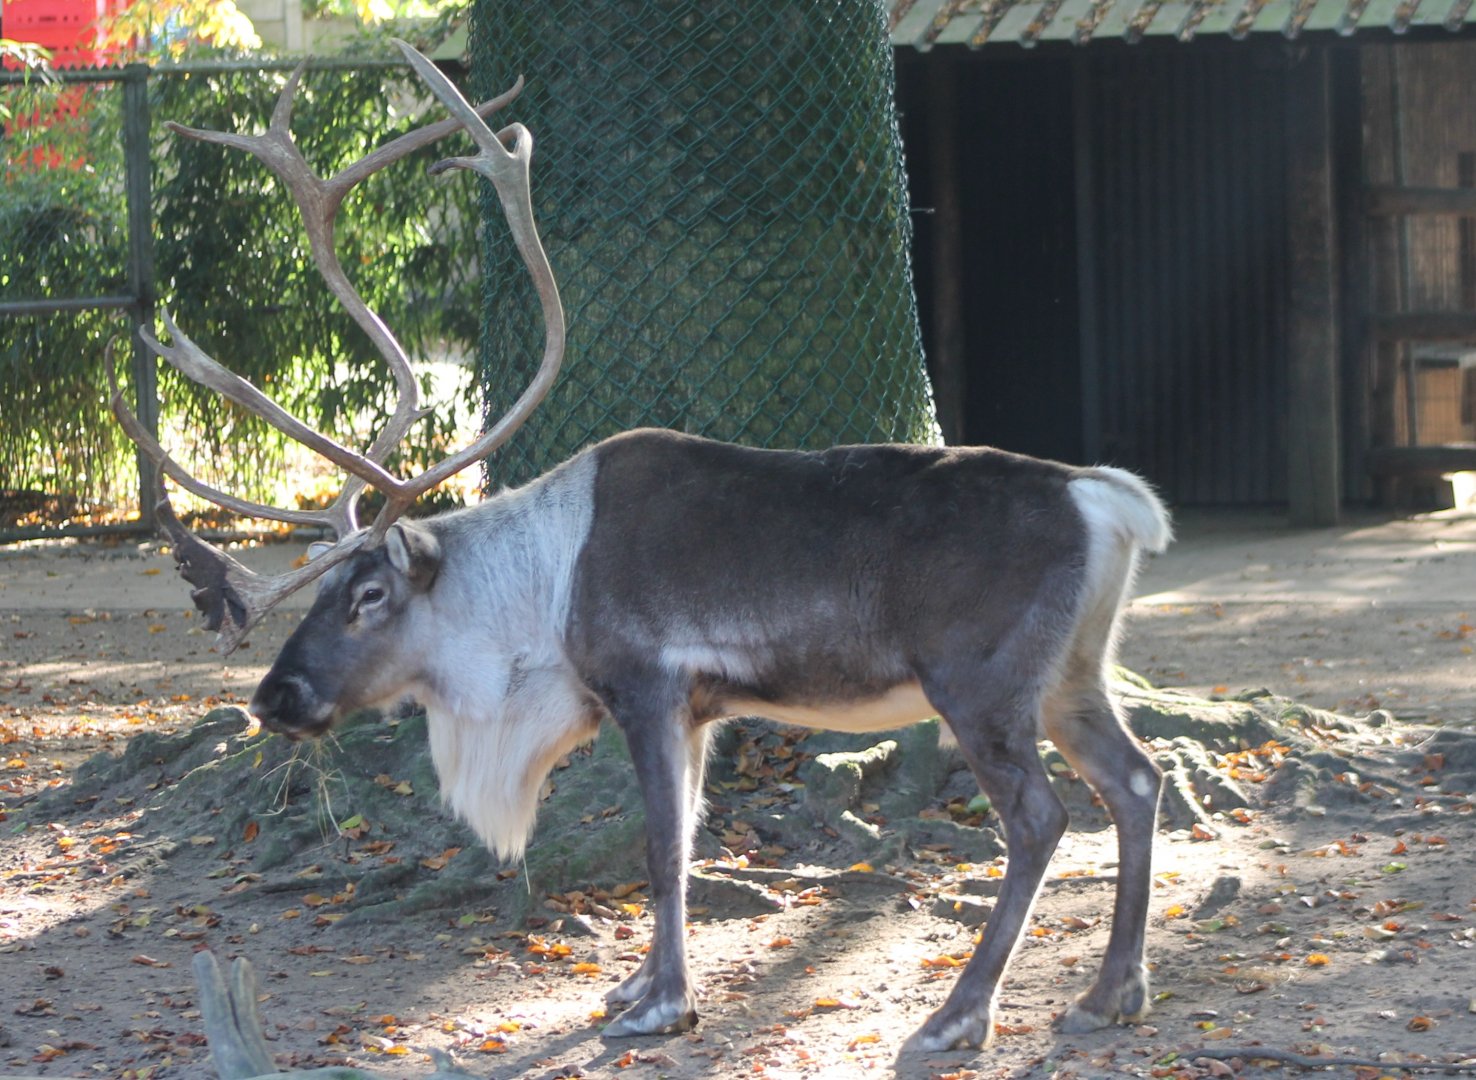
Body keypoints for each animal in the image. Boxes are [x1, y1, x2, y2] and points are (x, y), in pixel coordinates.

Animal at [112, 41, 1172, 1053]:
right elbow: (691, 843)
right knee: (1136, 780)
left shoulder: (648, 686)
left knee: (1041, 818)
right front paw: (636, 985)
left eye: (367, 595)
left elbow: (663, 849)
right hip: (1072, 673)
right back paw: (1110, 994)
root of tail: (1106, 499)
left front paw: (662, 1004)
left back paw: (959, 1016)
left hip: (980, 683)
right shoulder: (700, 710)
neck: (533, 603)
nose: (273, 696)